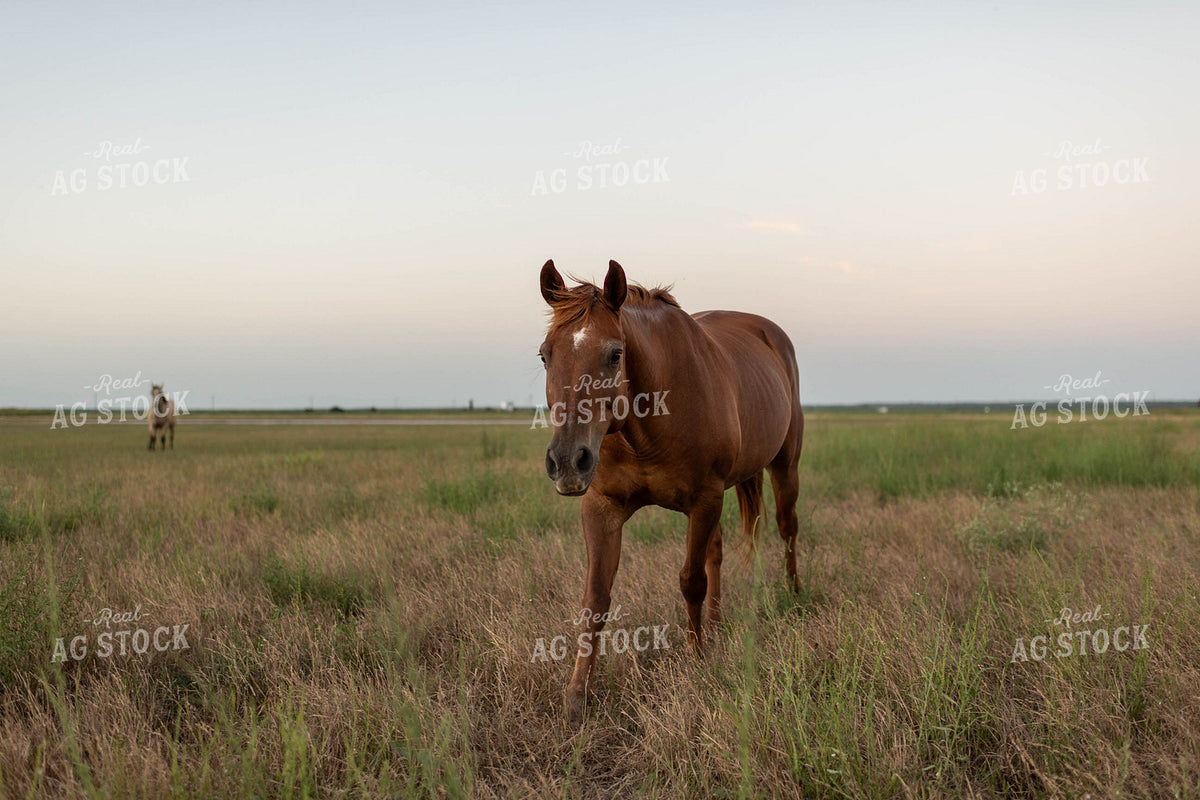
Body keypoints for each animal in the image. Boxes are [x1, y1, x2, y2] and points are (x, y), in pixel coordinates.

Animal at [538, 259, 804, 722]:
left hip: (784, 467)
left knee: (788, 529)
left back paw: (793, 595)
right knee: (717, 551)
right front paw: (576, 696)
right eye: (544, 355)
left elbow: (690, 581)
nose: (568, 461)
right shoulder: (602, 507)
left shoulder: (704, 499)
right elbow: (595, 599)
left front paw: (697, 660)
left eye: (615, 354)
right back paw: (715, 623)